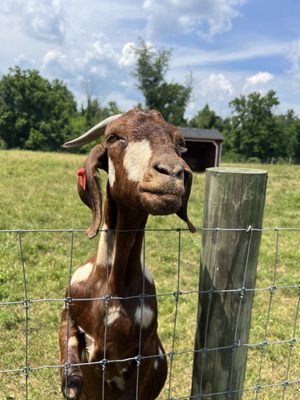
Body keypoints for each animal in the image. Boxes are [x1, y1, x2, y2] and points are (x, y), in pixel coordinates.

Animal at [59, 108, 195, 398]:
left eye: (179, 143)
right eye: (113, 137)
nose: (171, 172)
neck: (113, 285)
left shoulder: (146, 351)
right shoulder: (69, 312)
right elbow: (71, 374)